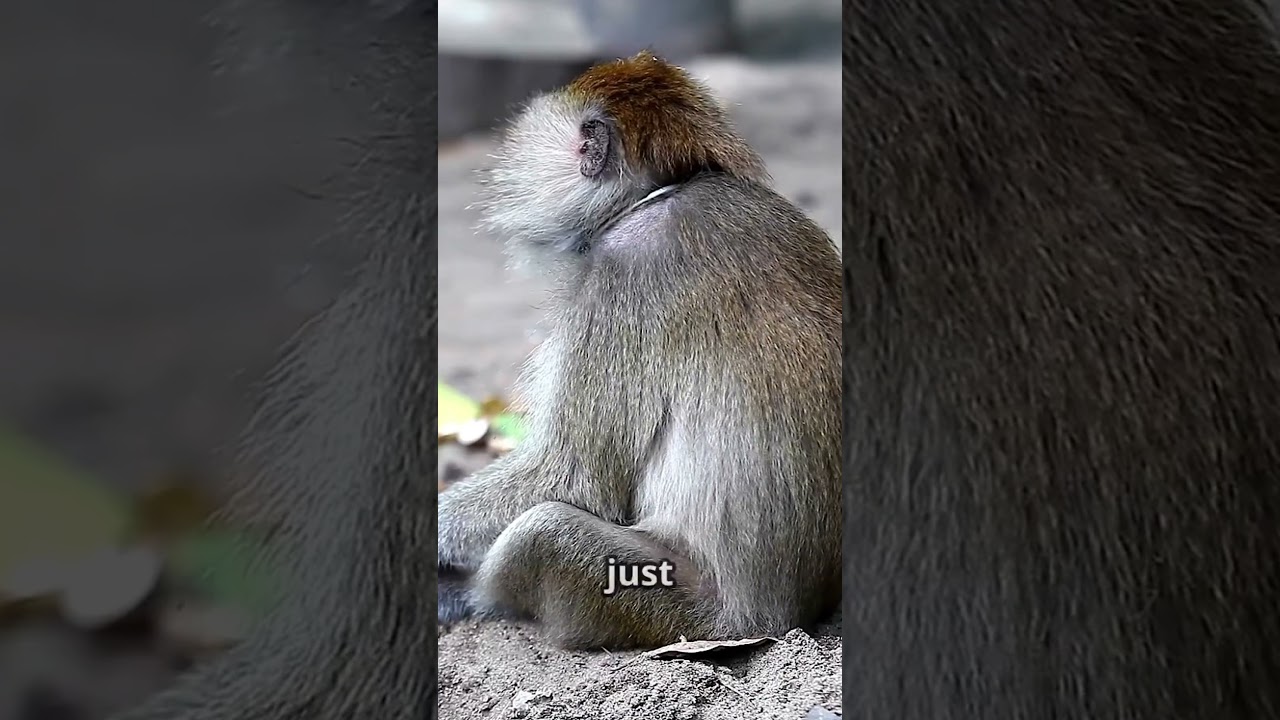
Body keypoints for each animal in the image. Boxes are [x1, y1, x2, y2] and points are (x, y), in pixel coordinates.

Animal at [436, 51, 843, 650]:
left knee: (544, 530)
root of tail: (774, 623)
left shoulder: (623, 271)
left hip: (677, 607)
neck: (662, 192)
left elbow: (570, 477)